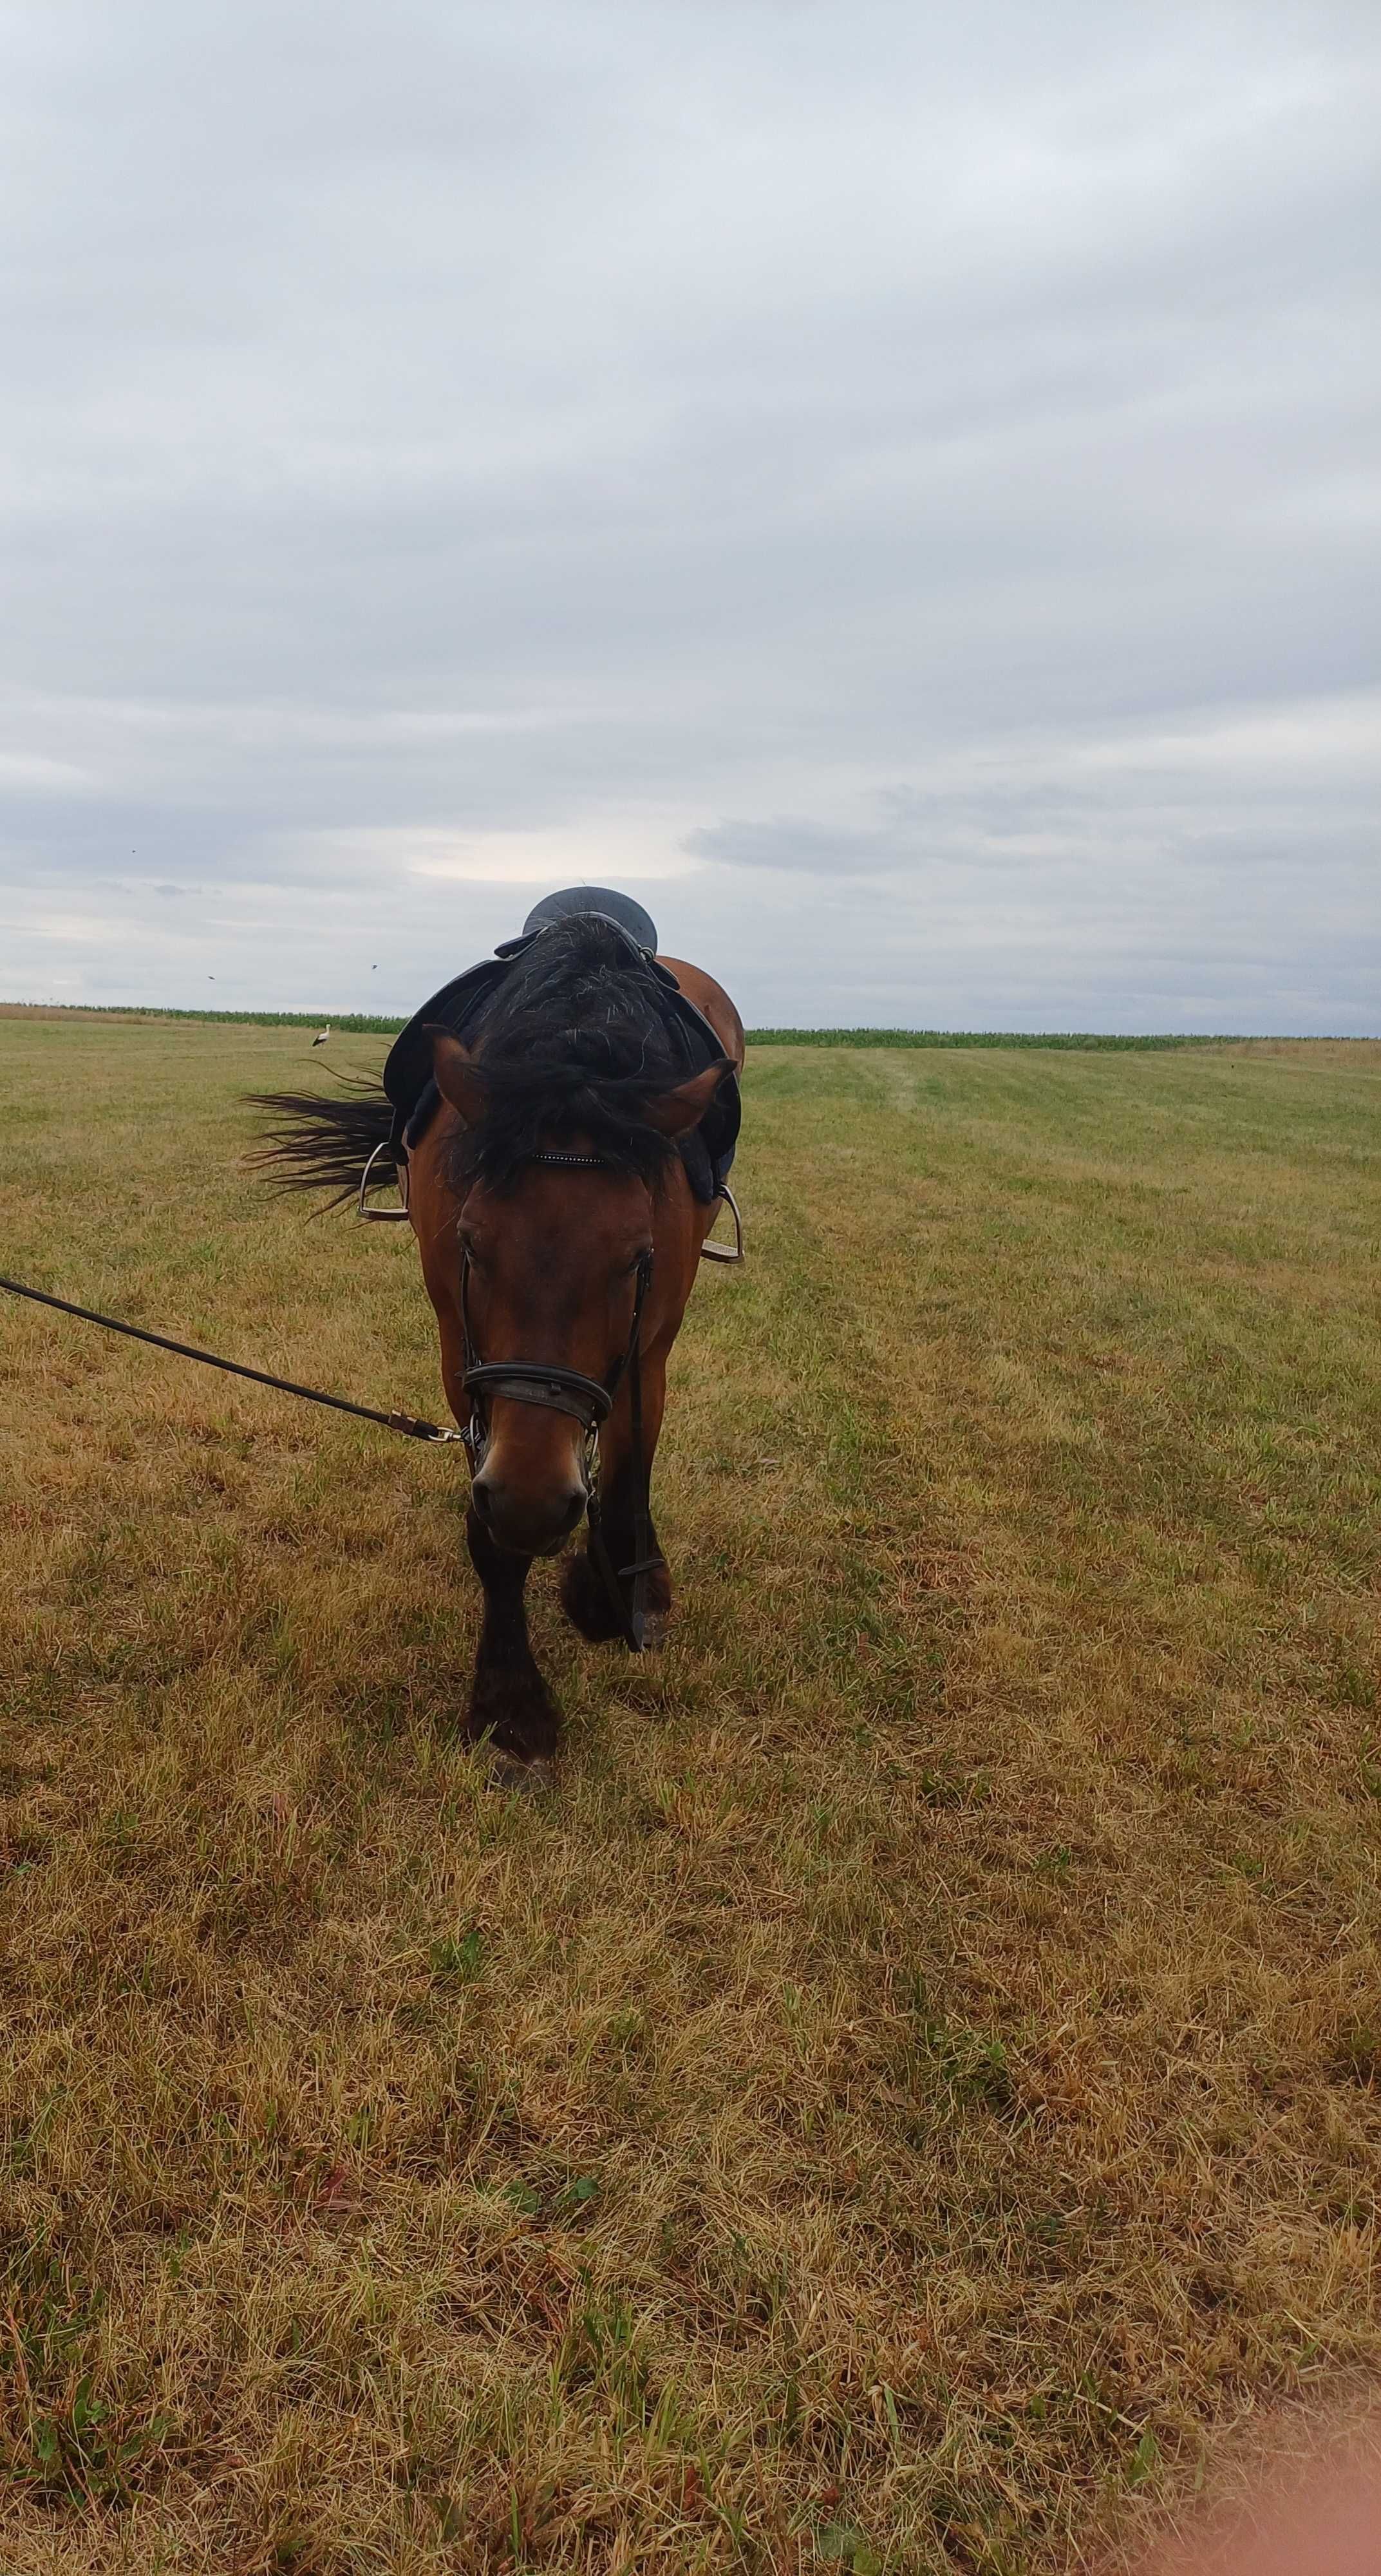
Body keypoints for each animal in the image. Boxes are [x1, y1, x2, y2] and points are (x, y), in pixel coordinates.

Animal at [254, 912, 737, 1772]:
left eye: (638, 1257)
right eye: (471, 1244)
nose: (535, 1500)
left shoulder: (648, 1344)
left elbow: (629, 1472)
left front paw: (616, 1592)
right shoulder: (463, 1354)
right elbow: (494, 1542)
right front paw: (511, 1707)